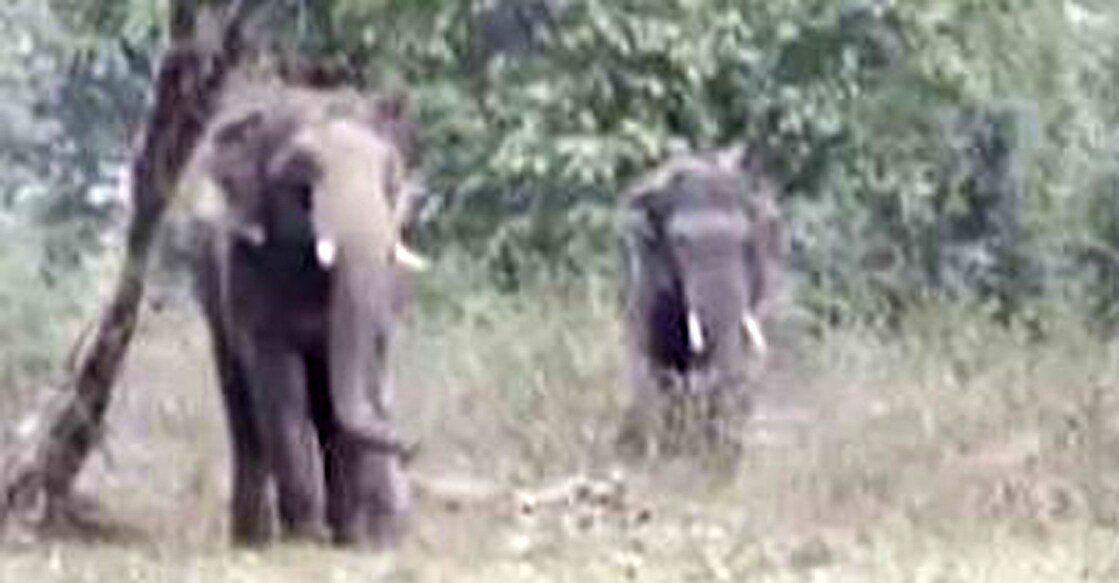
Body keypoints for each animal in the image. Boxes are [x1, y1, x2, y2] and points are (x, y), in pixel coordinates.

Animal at [186, 81, 427, 546]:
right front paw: (308, 536)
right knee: (242, 409)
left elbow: (353, 380)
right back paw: (253, 538)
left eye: (390, 177)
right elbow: (280, 384)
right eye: (302, 174)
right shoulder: (249, 269)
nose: (413, 447)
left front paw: (352, 538)